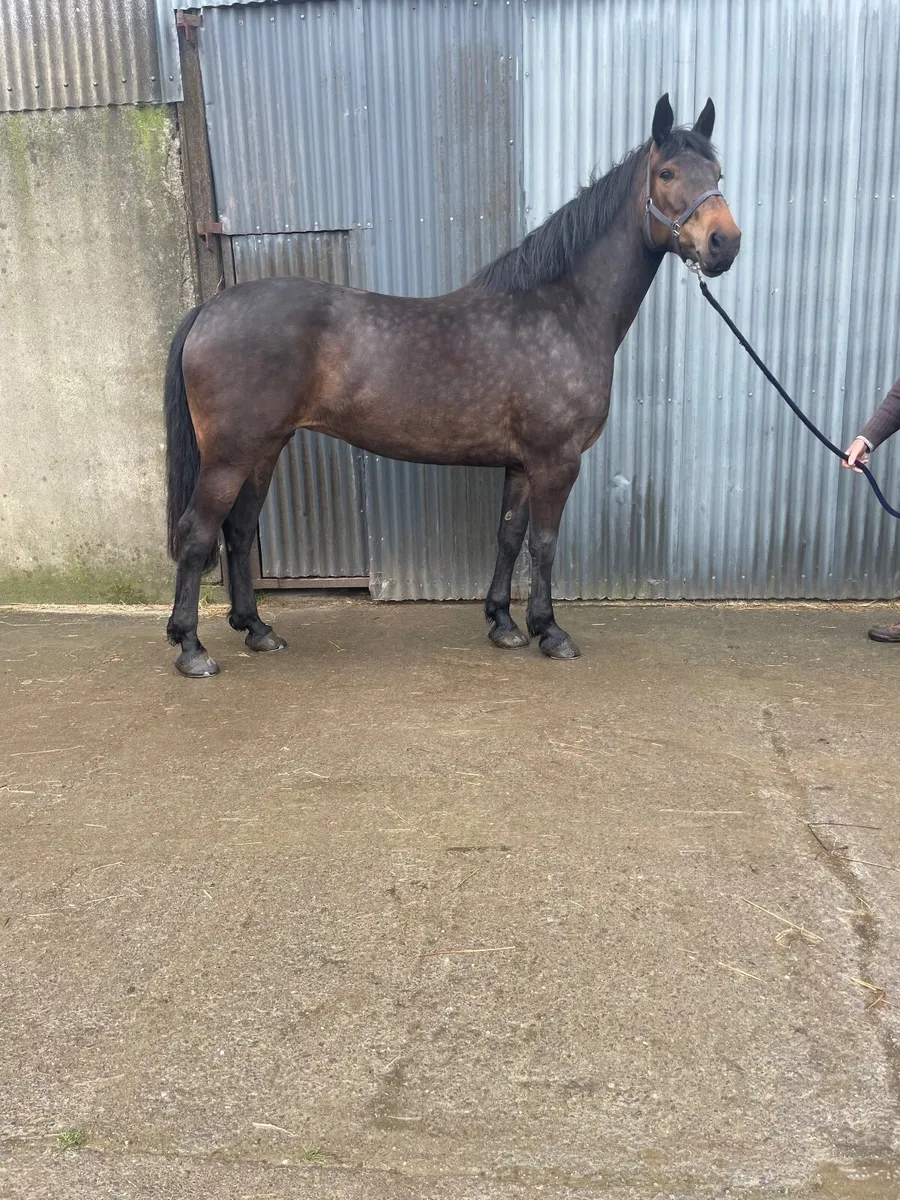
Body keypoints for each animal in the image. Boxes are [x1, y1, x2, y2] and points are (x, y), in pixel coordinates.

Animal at [163, 94, 741, 677]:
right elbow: (544, 544)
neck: (562, 311)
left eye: (716, 173)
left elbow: (509, 536)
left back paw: (257, 630)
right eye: (667, 173)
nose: (725, 243)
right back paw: (192, 648)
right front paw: (550, 631)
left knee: (238, 531)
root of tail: (210, 309)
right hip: (230, 456)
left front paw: (503, 623)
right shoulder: (556, 460)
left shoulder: (521, 464)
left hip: (264, 449)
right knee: (196, 533)